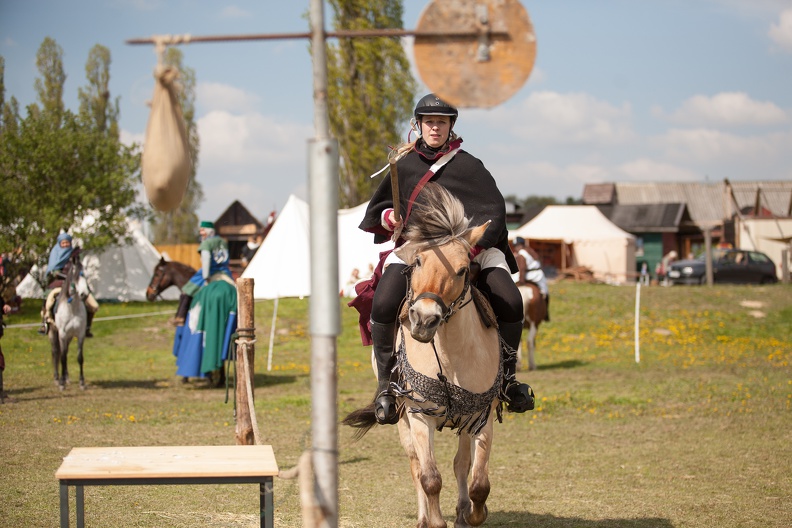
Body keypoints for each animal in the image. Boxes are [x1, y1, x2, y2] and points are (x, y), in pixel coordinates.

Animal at [48, 250, 88, 390]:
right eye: (75, 275)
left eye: (86, 275)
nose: (84, 294)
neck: (72, 309)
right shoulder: (62, 334)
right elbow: (63, 357)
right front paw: (61, 383)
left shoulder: (80, 334)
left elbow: (80, 357)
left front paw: (82, 382)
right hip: (53, 333)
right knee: (56, 352)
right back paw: (57, 378)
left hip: (69, 337)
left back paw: (66, 378)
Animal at [344, 183, 504, 528]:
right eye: (417, 262)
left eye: (463, 270)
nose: (423, 319)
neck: (450, 356)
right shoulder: (418, 417)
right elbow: (429, 477)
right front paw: (434, 520)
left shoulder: (481, 416)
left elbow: (478, 481)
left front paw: (470, 514)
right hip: (401, 416)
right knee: (415, 464)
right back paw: (422, 515)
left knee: (461, 463)